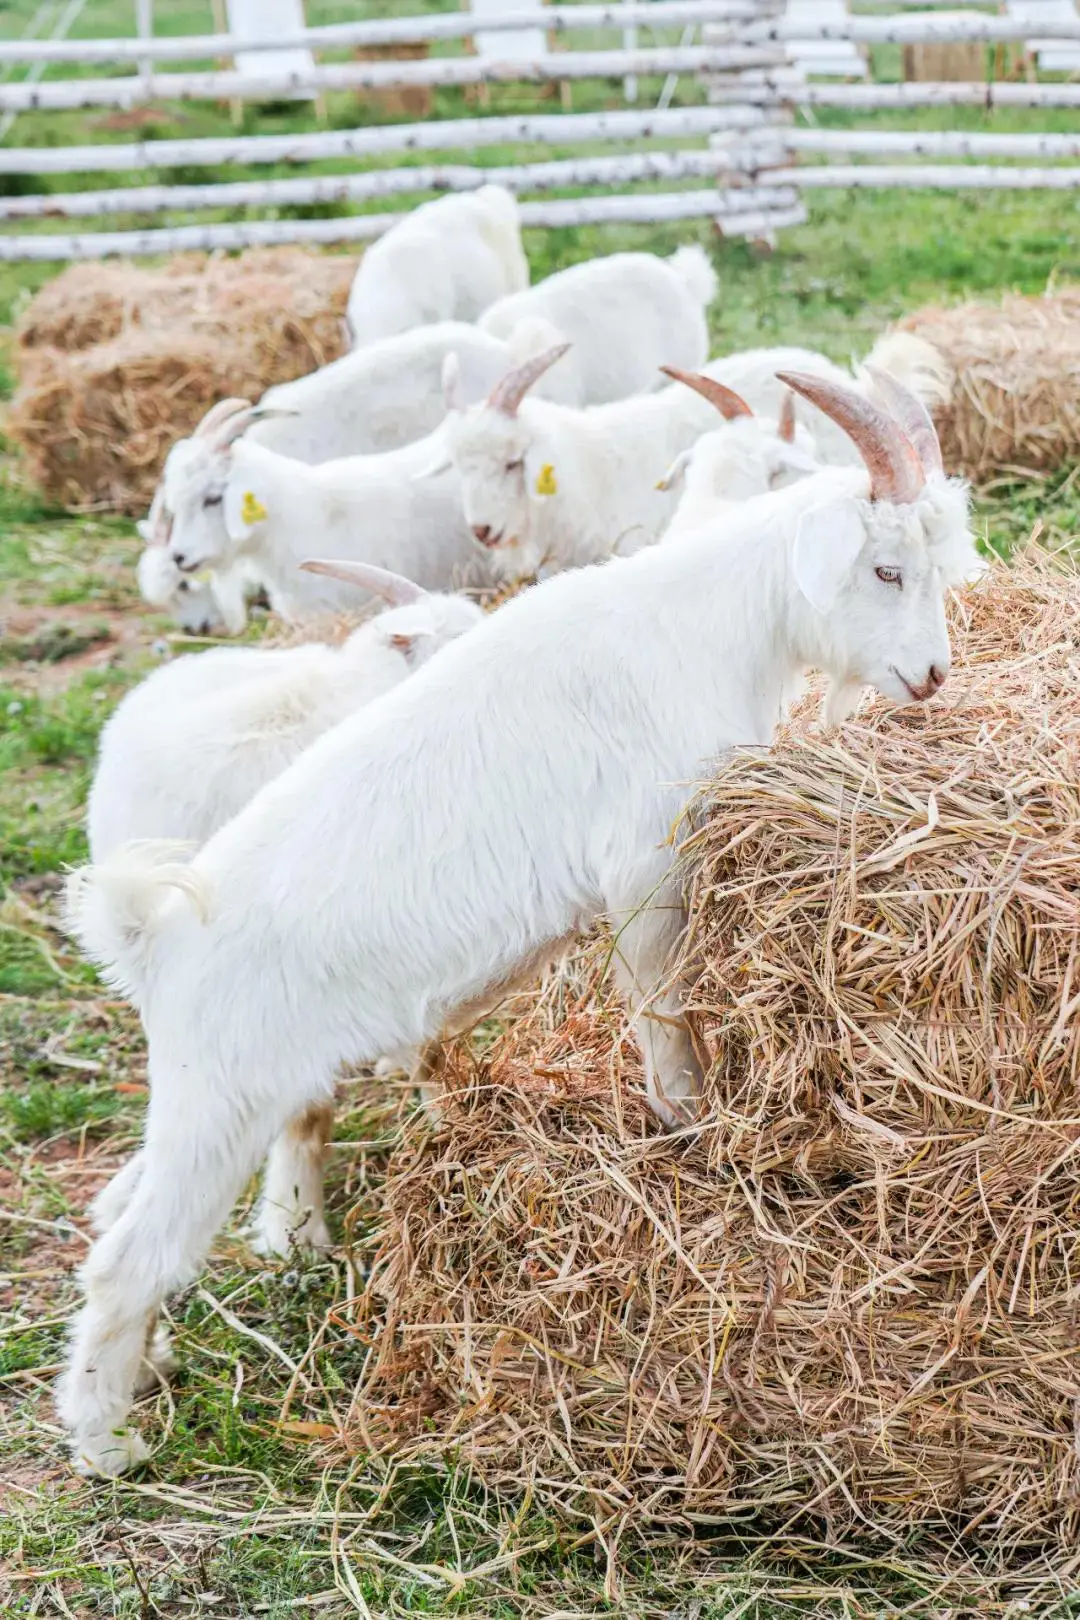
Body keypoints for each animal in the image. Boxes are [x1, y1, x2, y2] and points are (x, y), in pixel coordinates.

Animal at [59, 370, 977, 1483]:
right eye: (886, 569)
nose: (931, 677)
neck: (703, 624)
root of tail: (156, 939)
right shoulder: (645, 865)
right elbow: (665, 1021)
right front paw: (692, 1132)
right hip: (220, 1102)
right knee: (127, 1255)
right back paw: (106, 1439)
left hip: (211, 1097)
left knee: (121, 1209)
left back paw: (140, 1374)